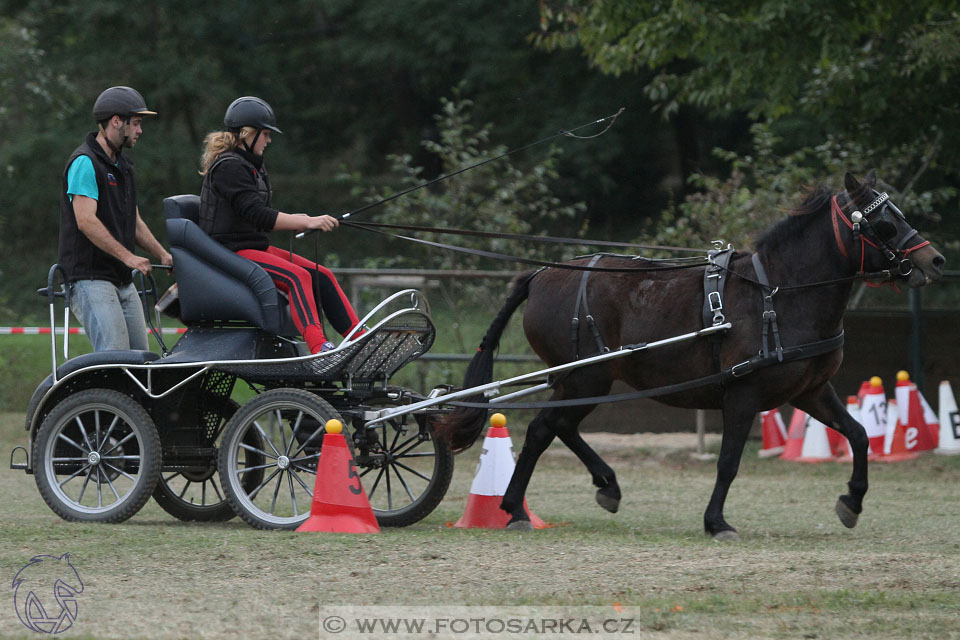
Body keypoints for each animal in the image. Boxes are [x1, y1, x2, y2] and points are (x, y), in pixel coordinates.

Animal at [440, 171, 944, 540]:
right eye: (883, 221)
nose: (935, 261)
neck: (779, 295)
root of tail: (541, 275)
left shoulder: (811, 391)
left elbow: (858, 435)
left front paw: (851, 502)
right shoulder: (743, 393)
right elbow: (729, 461)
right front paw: (716, 522)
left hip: (586, 379)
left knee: (558, 426)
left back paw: (602, 487)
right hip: (583, 377)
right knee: (544, 429)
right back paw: (516, 509)